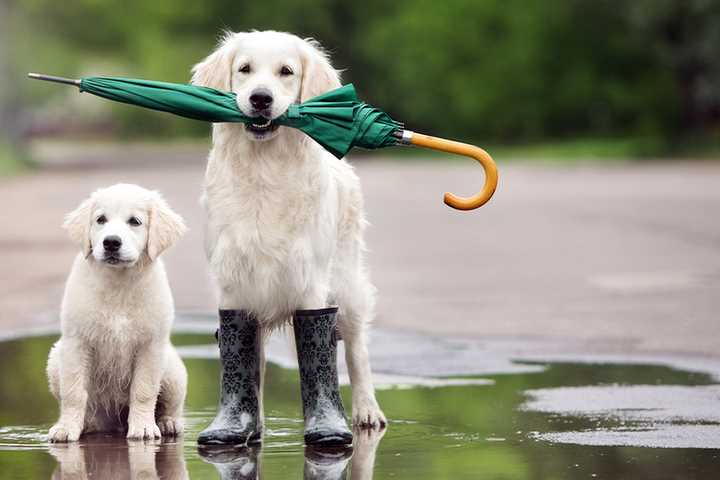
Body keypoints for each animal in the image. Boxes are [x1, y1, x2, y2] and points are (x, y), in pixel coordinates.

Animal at [45, 184, 188, 442]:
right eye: (100, 219)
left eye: (135, 222)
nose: (111, 242)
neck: (119, 282)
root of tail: (113, 425)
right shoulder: (76, 342)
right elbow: (73, 392)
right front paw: (66, 428)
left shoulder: (151, 345)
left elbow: (144, 390)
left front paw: (143, 428)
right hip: (55, 359)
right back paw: (86, 425)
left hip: (173, 370)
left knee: (171, 404)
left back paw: (168, 423)